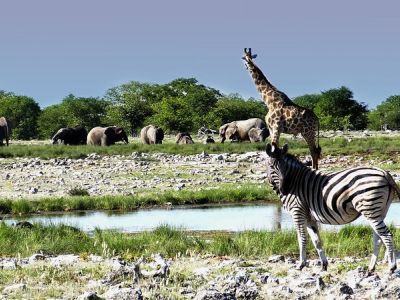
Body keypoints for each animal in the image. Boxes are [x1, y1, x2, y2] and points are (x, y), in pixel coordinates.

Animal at [264, 144, 398, 274]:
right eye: (271, 166)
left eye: (284, 167)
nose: (285, 190)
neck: (294, 181)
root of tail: (385, 173)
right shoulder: (309, 217)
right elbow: (316, 241)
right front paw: (323, 265)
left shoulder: (297, 211)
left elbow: (302, 238)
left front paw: (300, 264)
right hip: (379, 211)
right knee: (378, 238)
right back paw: (371, 268)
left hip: (370, 209)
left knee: (386, 235)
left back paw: (391, 267)